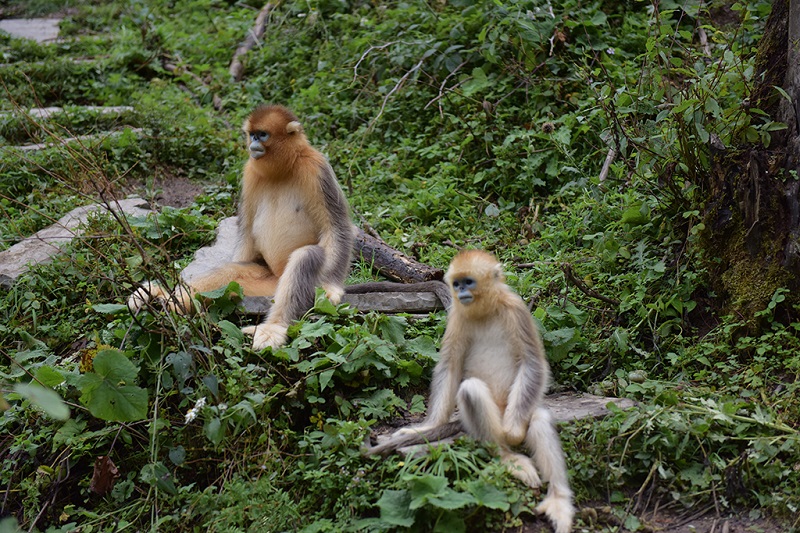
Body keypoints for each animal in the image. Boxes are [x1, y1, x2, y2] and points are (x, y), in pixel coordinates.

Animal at [130, 105, 354, 352]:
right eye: (252, 134)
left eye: (262, 135)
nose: (253, 143)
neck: (284, 169)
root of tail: (278, 276)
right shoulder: (250, 173)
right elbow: (246, 229)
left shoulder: (316, 167)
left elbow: (336, 228)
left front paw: (331, 287)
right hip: (263, 284)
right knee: (231, 273)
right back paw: (167, 300)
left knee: (307, 256)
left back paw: (273, 328)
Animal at [368, 249, 576, 532]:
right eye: (456, 284)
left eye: (468, 282)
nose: (461, 292)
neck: (486, 311)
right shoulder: (457, 316)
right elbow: (450, 368)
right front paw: (426, 427)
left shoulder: (516, 309)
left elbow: (533, 363)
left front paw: (513, 431)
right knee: (471, 389)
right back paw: (508, 459)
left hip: (513, 405)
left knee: (539, 417)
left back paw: (558, 500)